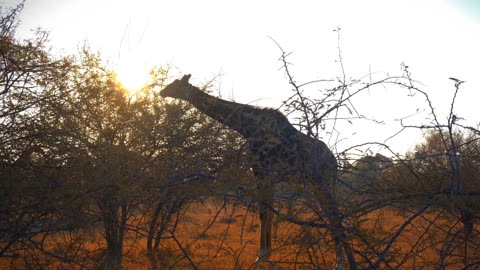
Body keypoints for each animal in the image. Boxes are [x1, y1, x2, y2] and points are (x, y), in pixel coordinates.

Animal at [159, 75, 354, 268]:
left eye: (176, 84)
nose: (162, 92)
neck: (247, 126)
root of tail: (334, 162)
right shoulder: (269, 175)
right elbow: (268, 213)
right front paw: (267, 255)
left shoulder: (261, 171)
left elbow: (263, 213)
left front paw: (260, 257)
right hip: (320, 184)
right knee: (336, 214)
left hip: (321, 182)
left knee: (335, 215)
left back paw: (339, 262)